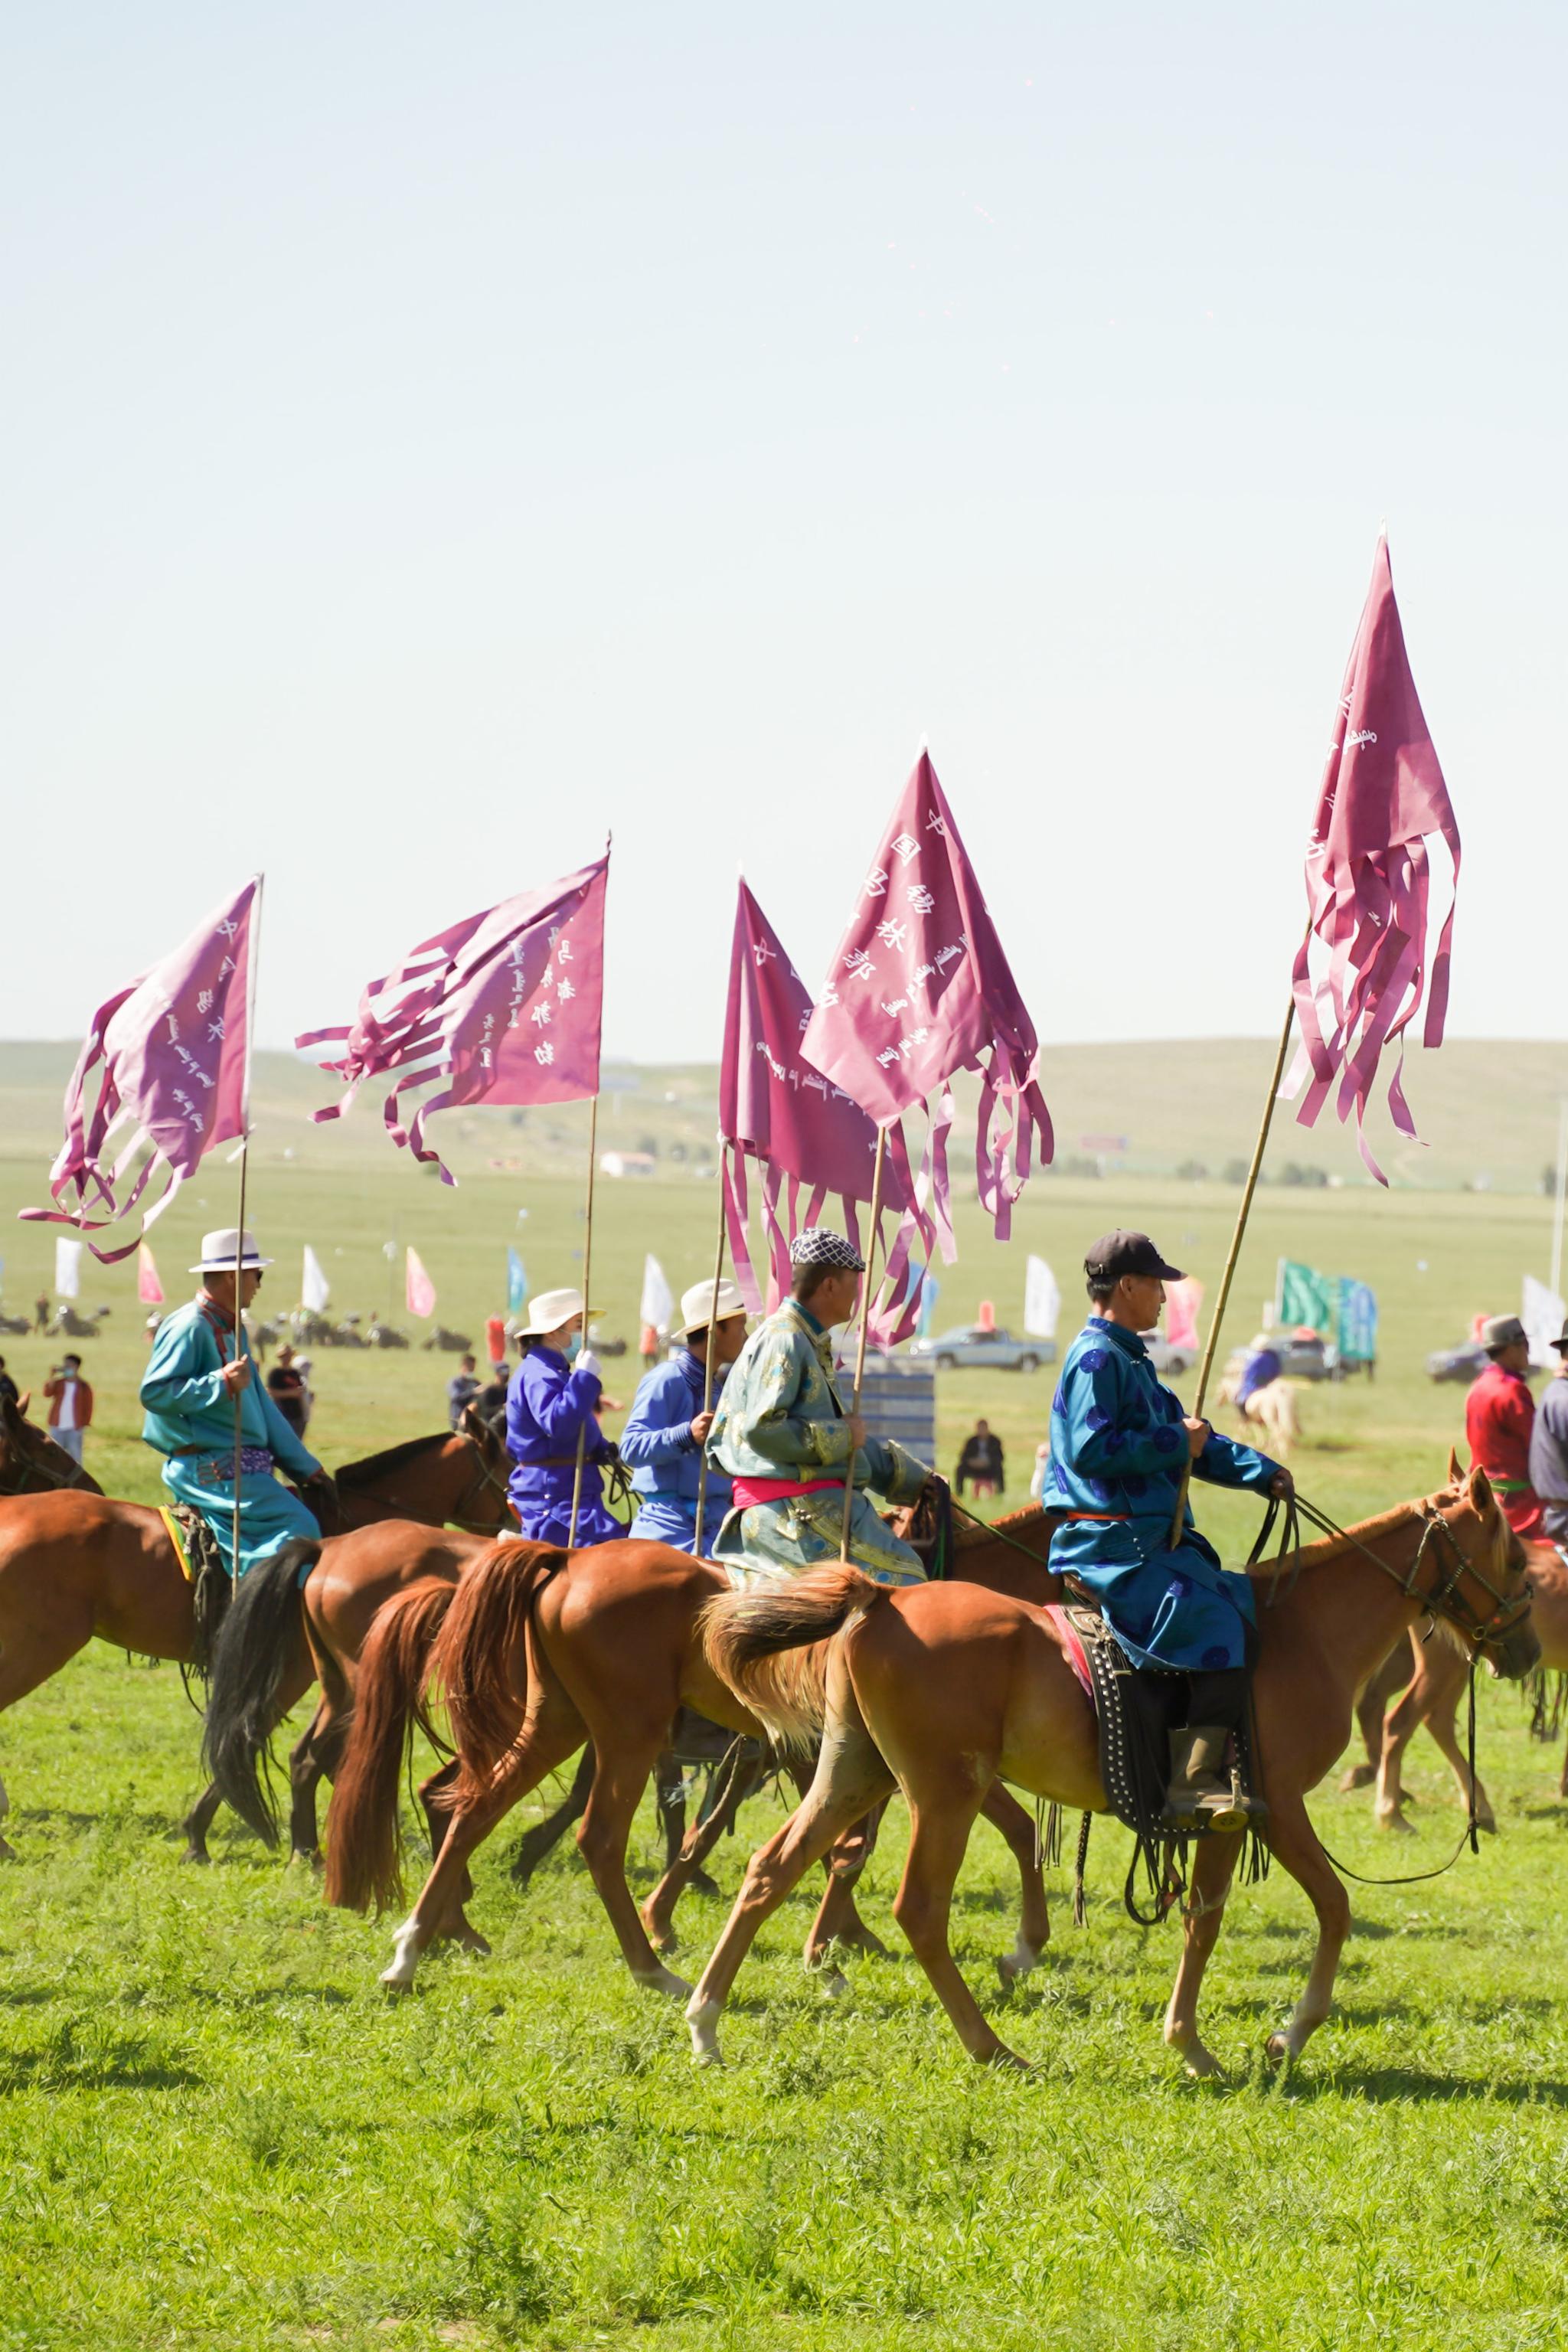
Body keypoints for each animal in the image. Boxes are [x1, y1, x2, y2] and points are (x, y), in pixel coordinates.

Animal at [328, 1505, 1067, 2004]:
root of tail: (566, 1560)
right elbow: (843, 1849)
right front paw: (828, 1949)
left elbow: (994, 1830)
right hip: (625, 1731)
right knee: (593, 1837)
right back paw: (650, 1968)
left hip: (556, 1723)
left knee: (471, 1806)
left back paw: (419, 1947)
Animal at [681, 1458, 1532, 2088]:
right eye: (1519, 1555)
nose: (1522, 1647)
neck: (1304, 1632)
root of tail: (882, 1602)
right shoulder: (1267, 1806)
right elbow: (1302, 1910)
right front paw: (1245, 2041)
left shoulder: (1242, 1816)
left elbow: (1245, 1914)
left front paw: (1238, 2037)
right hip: (942, 1791)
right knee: (918, 1908)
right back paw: (991, 2047)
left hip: (855, 1773)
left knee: (772, 1868)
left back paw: (705, 2021)